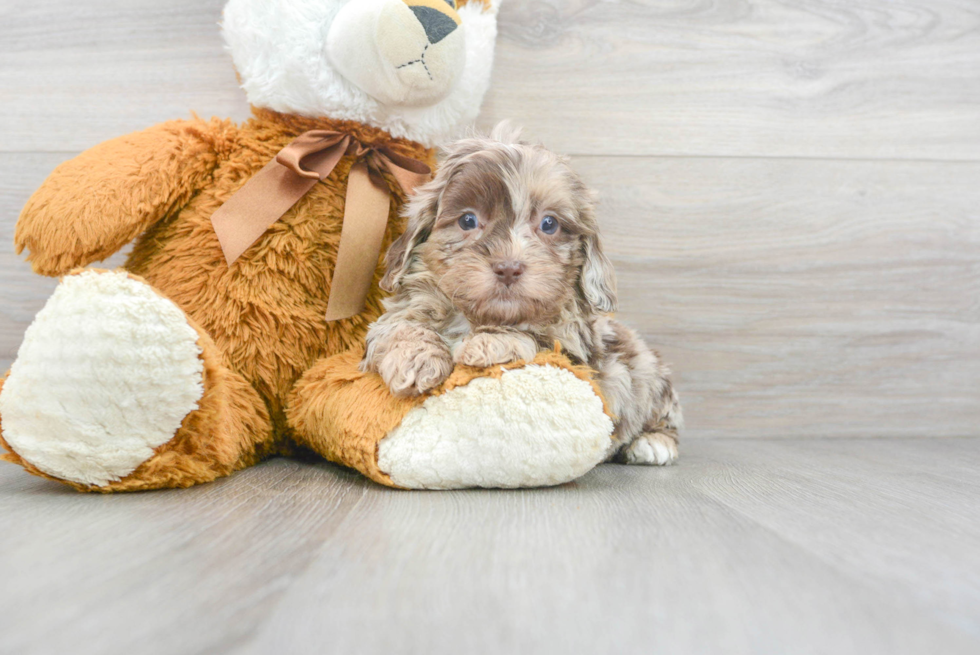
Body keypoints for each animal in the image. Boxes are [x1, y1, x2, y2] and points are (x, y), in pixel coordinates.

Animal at [360, 125, 680, 464]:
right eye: (467, 220)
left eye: (549, 224)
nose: (509, 268)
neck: (478, 316)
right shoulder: (396, 315)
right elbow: (397, 327)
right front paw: (416, 359)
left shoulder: (575, 352)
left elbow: (534, 336)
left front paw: (489, 342)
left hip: (648, 371)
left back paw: (653, 442)